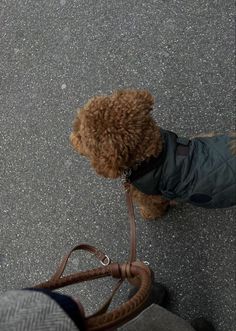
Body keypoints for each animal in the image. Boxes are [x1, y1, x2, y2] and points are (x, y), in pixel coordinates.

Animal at [69, 91, 236, 220]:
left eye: (82, 137)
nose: (70, 138)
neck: (150, 157)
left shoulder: (151, 198)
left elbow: (154, 208)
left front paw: (148, 215)